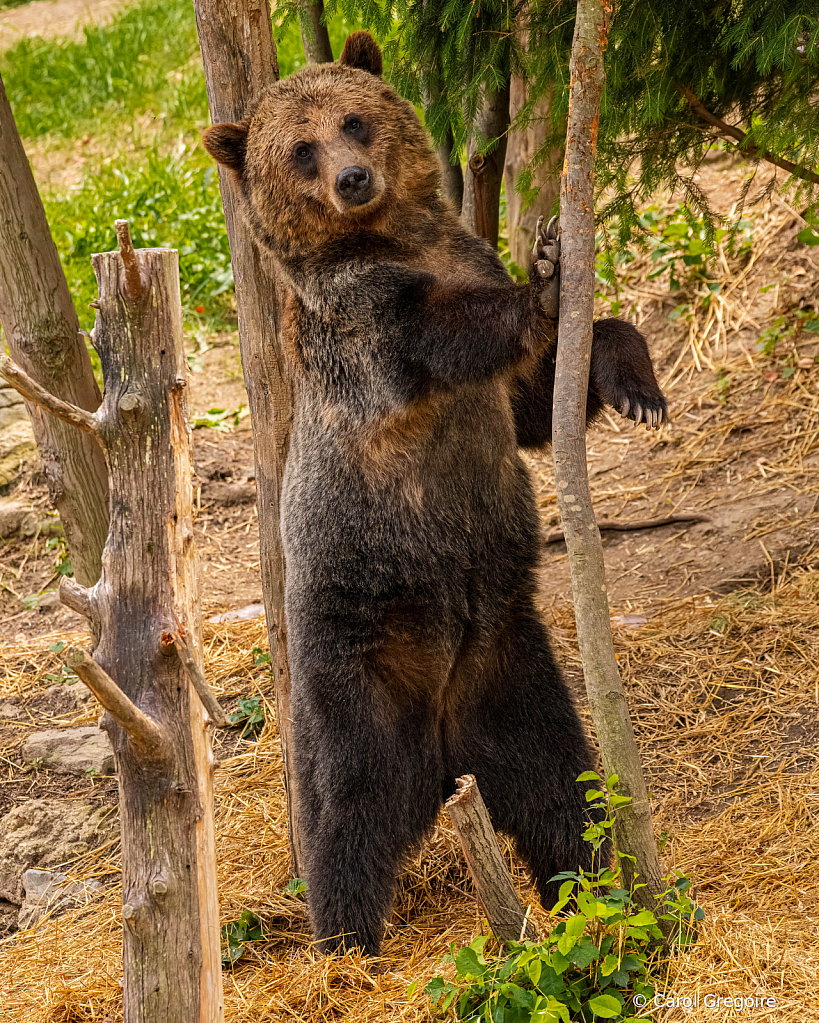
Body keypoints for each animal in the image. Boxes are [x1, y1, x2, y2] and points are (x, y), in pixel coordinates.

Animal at [202, 31, 662, 957]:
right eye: (299, 149)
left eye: (354, 120)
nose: (352, 178)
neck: (398, 238)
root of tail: (445, 744)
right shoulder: (362, 324)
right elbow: (447, 332)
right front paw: (547, 278)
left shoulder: (469, 301)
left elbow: (538, 401)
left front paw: (634, 383)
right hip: (356, 669)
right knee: (345, 813)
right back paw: (345, 944)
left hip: (513, 672)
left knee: (562, 788)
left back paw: (592, 887)